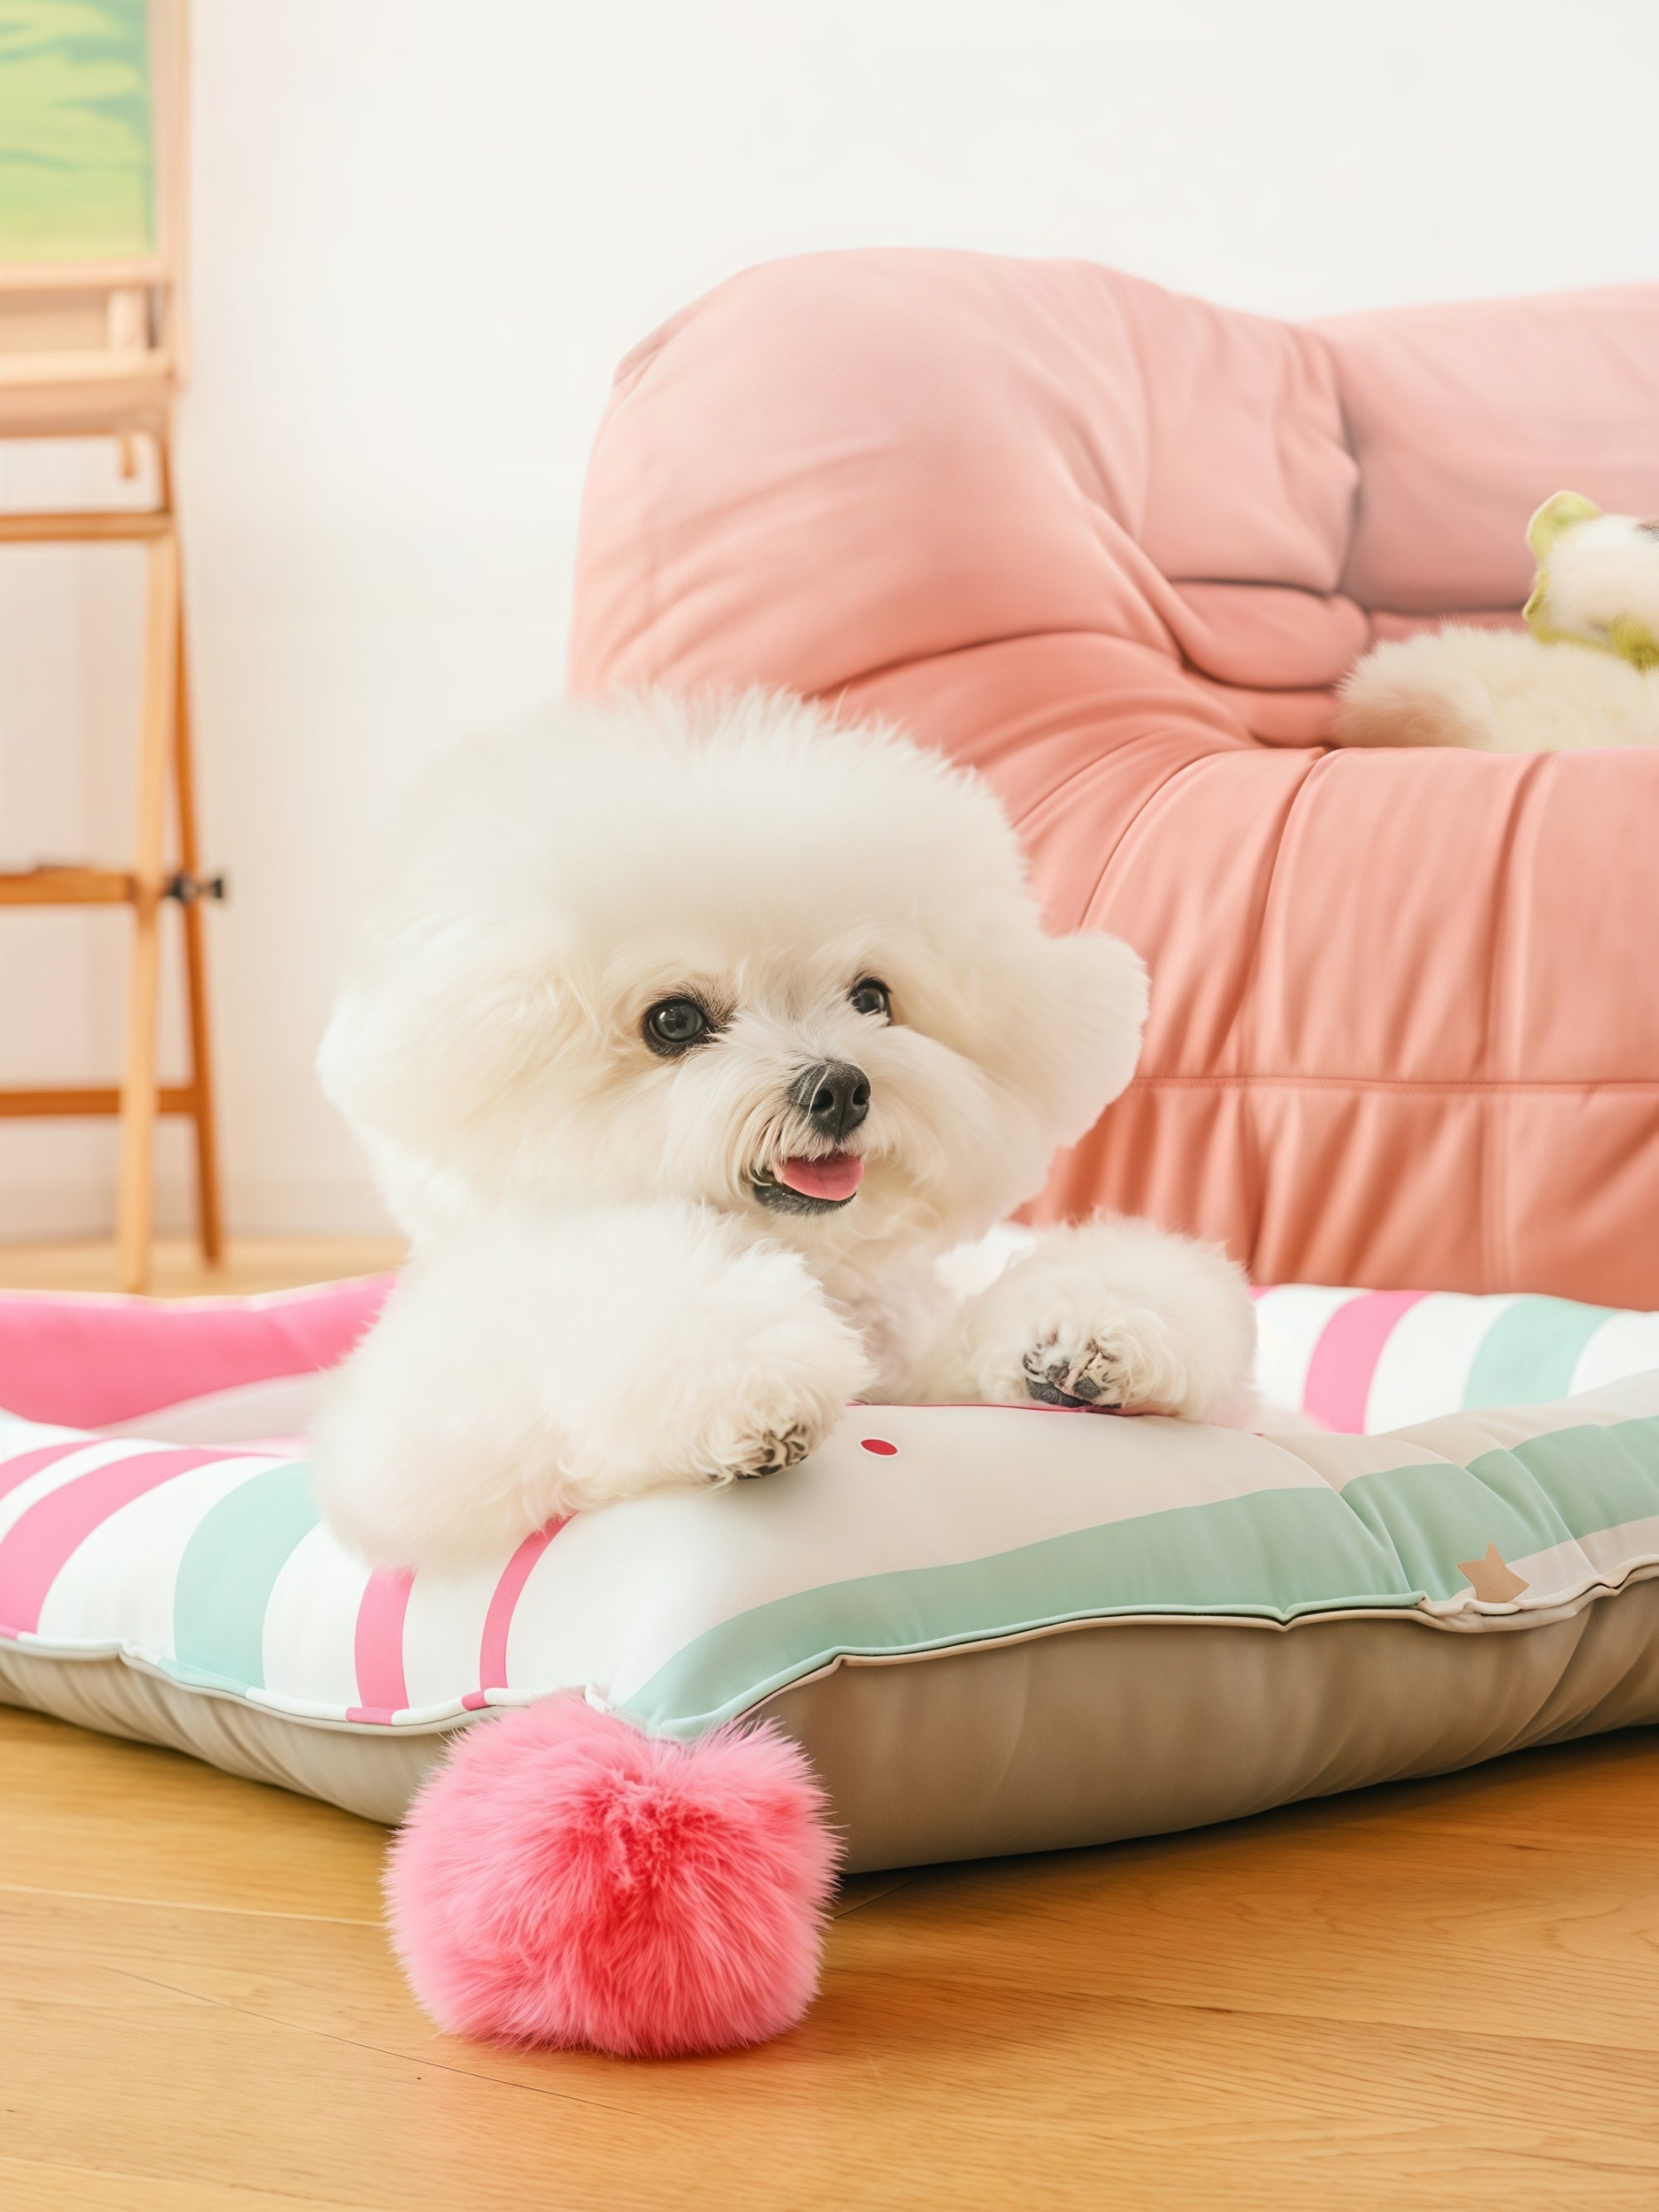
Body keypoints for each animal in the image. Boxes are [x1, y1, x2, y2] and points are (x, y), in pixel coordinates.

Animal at [311, 691, 1256, 1569]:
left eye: (871, 996)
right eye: (675, 1020)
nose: (838, 1088)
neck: (815, 1261)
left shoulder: (916, 1362)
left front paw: (1078, 1337)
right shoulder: (423, 1442)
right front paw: (745, 1390)